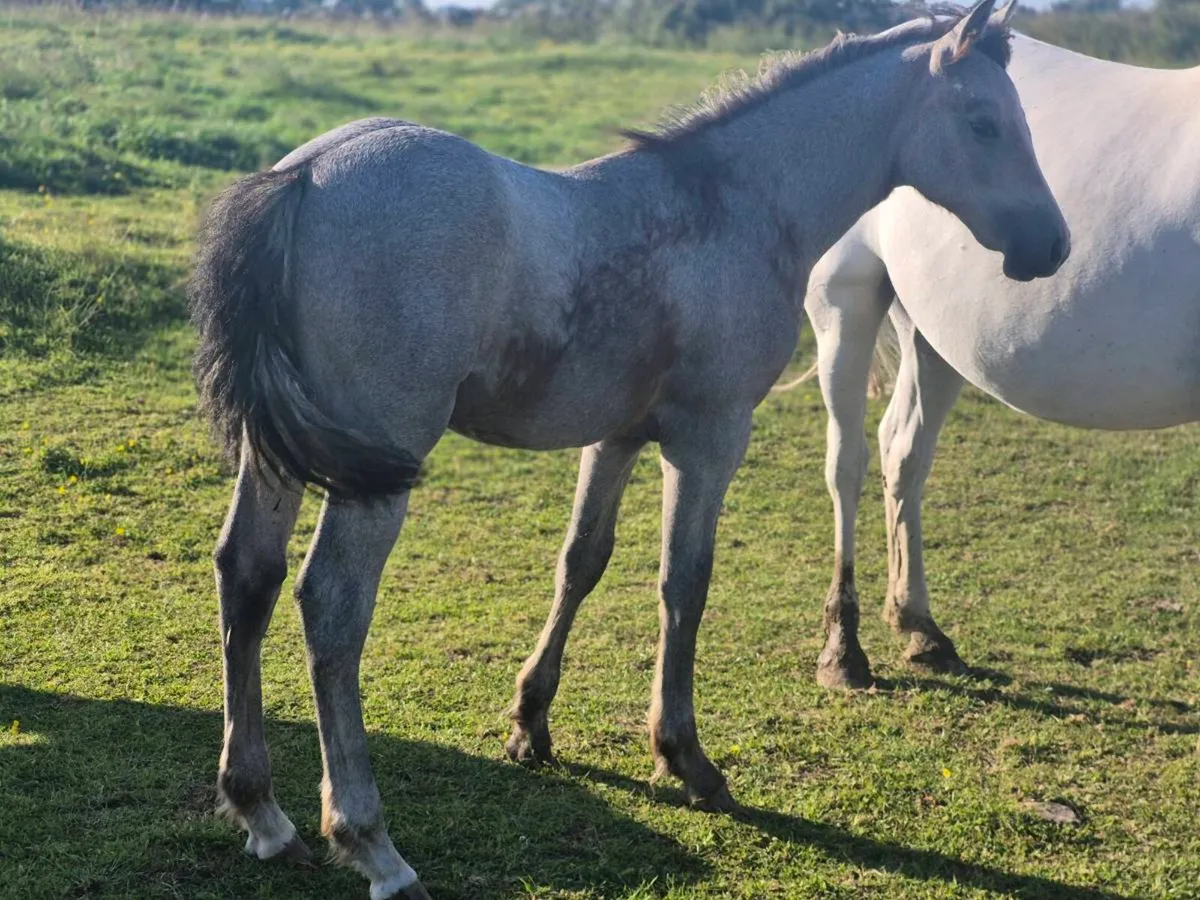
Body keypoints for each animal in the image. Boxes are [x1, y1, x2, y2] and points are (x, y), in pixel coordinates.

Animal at [189, 5, 1066, 897]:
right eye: (984, 121)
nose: (1051, 244)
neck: (739, 208)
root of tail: (303, 175)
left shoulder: (614, 436)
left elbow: (582, 561)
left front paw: (530, 723)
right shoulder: (709, 438)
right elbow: (685, 584)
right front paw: (687, 760)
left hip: (280, 454)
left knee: (247, 575)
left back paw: (262, 812)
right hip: (375, 467)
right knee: (333, 604)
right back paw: (372, 843)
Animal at [804, 32, 1198, 690]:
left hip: (932, 336)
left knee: (902, 451)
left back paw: (920, 629)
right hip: (844, 302)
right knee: (847, 465)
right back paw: (844, 650)